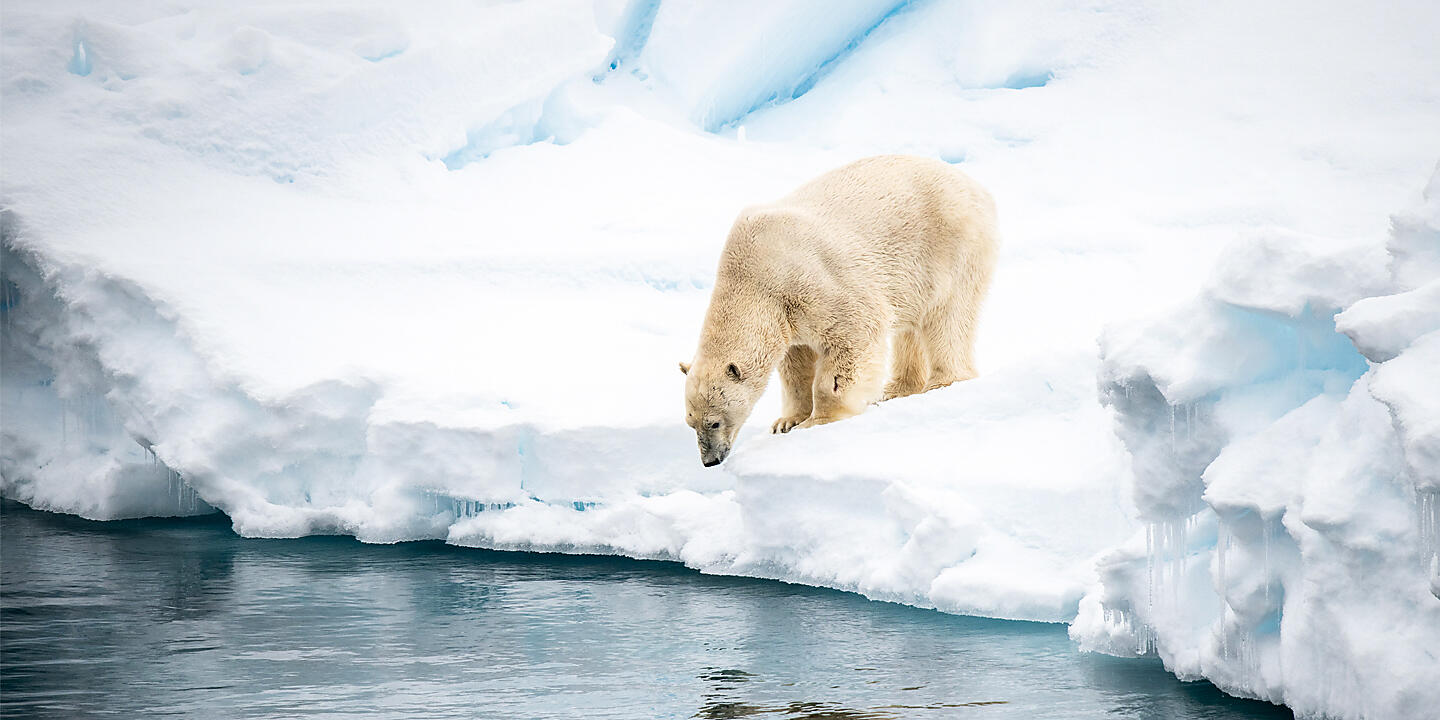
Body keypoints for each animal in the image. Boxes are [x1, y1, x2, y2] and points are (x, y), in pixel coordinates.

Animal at [676, 154, 996, 463]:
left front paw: (819, 420)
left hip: (949, 248)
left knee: (948, 318)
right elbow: (795, 365)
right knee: (911, 327)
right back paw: (896, 389)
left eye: (715, 421)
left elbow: (854, 335)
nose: (710, 460)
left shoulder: (813, 282)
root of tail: (977, 187)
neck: (752, 274)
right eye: (691, 423)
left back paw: (942, 382)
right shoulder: (785, 314)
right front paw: (786, 421)